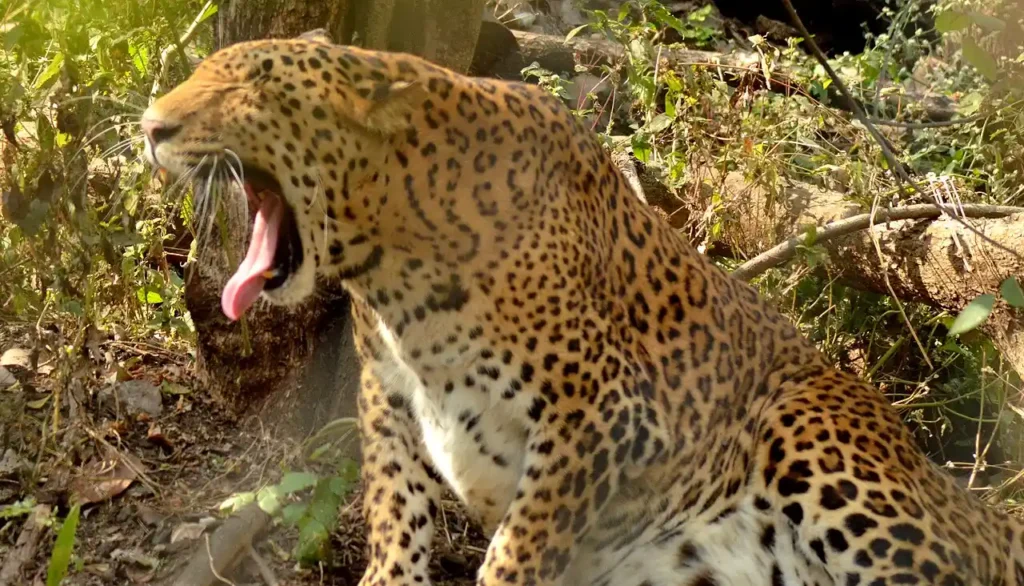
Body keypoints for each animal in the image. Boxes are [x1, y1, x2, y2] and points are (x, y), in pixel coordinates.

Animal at [140, 33, 1024, 586]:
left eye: (251, 83)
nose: (151, 126)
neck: (393, 265)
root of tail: (975, 509)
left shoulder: (603, 414)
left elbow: (516, 553)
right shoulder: (386, 398)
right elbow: (398, 518)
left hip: (815, 432)